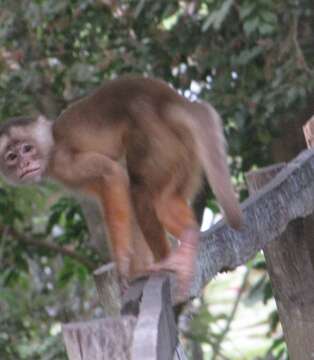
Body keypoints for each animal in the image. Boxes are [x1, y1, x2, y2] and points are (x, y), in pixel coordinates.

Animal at [0, 76, 243, 300]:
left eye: (27, 149)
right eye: (11, 157)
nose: (24, 164)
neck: (50, 144)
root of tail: (171, 100)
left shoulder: (62, 161)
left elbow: (113, 176)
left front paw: (124, 269)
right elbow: (121, 196)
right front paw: (137, 270)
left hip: (158, 138)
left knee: (141, 190)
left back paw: (167, 259)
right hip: (186, 150)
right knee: (163, 199)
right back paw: (189, 237)